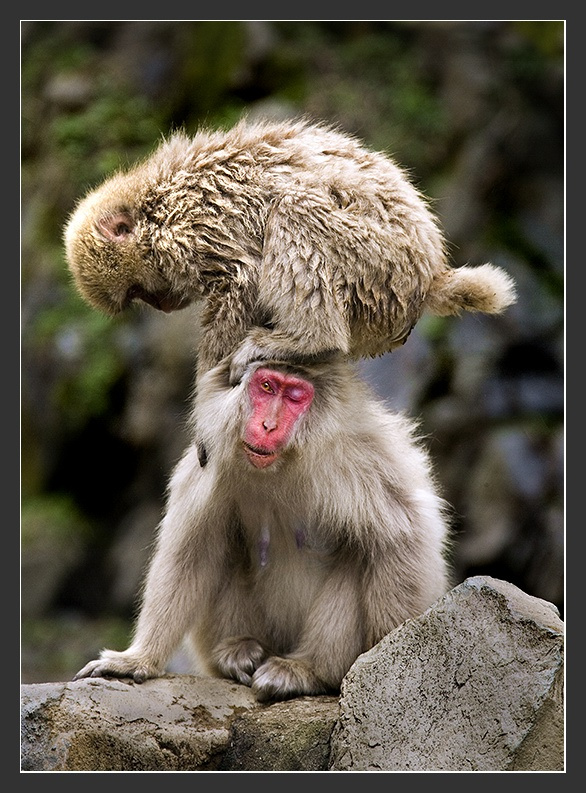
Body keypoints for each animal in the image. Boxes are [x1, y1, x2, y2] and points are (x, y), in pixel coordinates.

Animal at [64, 117, 517, 390]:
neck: (154, 200)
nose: (161, 304)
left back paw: (309, 339)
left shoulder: (190, 229)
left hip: (380, 267)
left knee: (292, 208)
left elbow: (241, 279)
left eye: (136, 291)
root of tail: (430, 275)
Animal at [74, 354, 451, 702]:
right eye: (267, 387)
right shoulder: (209, 459)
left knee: (360, 555)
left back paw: (307, 671)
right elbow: (190, 554)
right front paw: (139, 658)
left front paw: (384, 666)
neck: (284, 462)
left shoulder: (366, 457)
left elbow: (403, 535)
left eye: (295, 396)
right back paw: (236, 653)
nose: (268, 425)